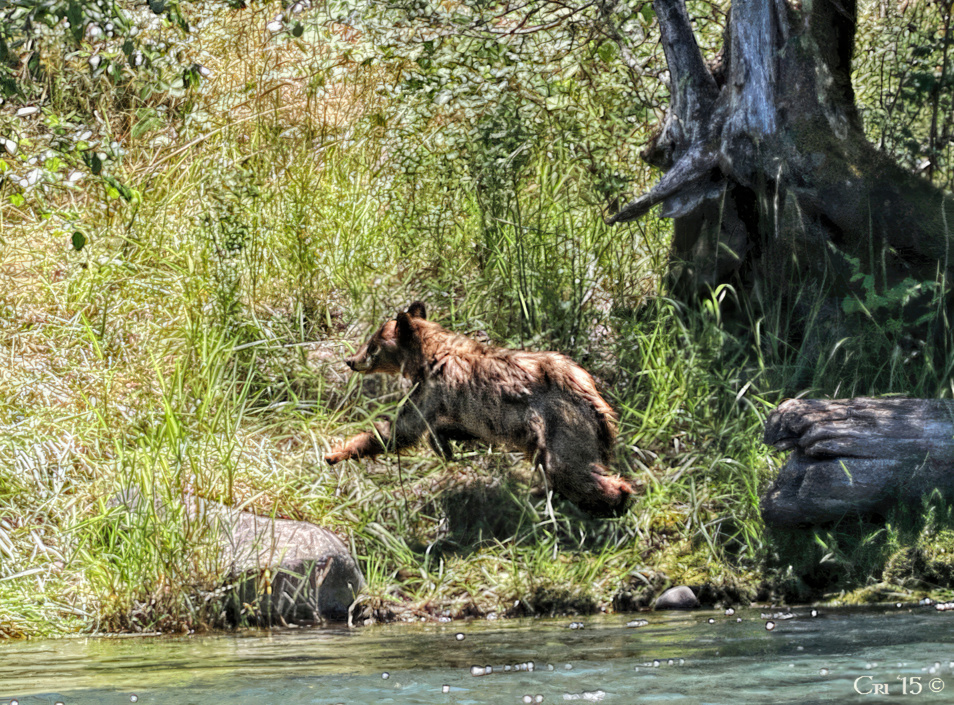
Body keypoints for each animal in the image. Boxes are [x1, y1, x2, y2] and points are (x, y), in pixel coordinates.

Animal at [325, 302, 633, 516]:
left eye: (373, 345)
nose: (350, 360)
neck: (427, 355)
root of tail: (595, 396)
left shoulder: (433, 388)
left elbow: (402, 429)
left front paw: (337, 451)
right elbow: (444, 427)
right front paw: (445, 443)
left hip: (561, 423)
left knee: (568, 468)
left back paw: (615, 499)